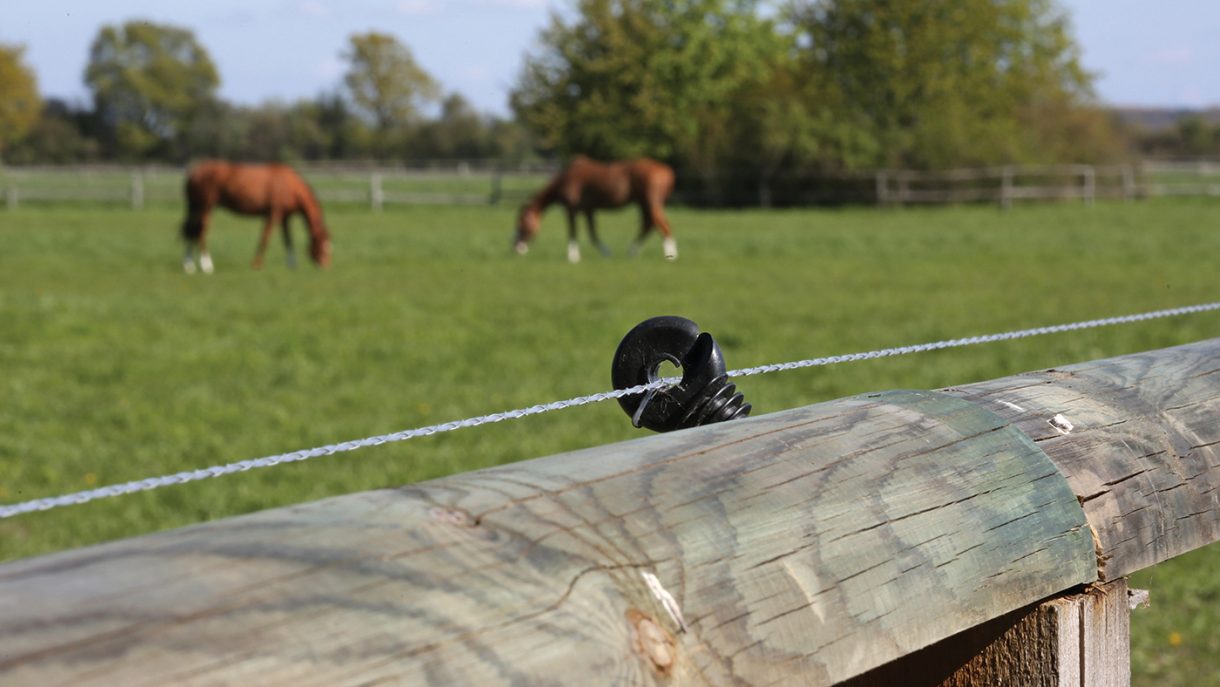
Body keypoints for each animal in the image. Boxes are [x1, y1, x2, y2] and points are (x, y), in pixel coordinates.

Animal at [180, 161, 332, 273]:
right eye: (323, 245)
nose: (325, 265)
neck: (290, 185)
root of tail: (193, 173)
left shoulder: (285, 217)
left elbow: (288, 240)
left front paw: (292, 264)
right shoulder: (273, 214)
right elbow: (265, 238)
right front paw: (256, 264)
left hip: (196, 208)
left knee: (192, 232)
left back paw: (189, 265)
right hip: (206, 207)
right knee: (201, 232)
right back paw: (206, 265)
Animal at [513, 156, 676, 263]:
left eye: (522, 225)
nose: (516, 247)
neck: (567, 178)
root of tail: (667, 171)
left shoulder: (571, 210)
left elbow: (573, 232)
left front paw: (572, 257)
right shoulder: (588, 210)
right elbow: (593, 234)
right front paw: (606, 253)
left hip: (651, 203)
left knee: (662, 225)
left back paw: (671, 254)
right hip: (643, 203)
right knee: (649, 225)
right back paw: (632, 252)